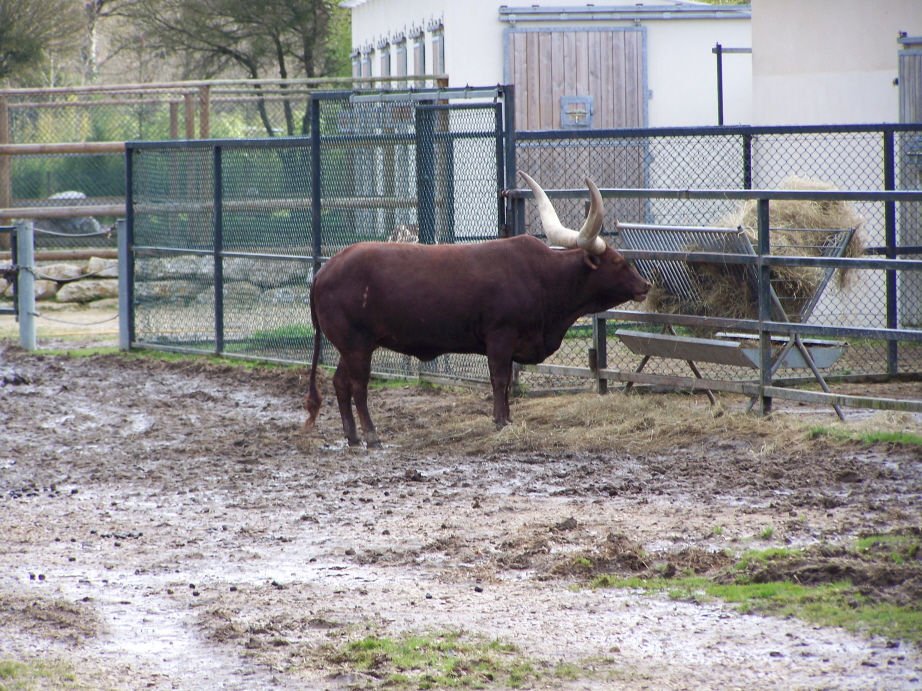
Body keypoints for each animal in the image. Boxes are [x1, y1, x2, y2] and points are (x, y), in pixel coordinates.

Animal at [302, 173, 648, 448]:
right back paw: (371, 436)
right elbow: (500, 379)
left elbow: (506, 382)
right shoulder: (500, 337)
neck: (542, 276)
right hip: (356, 344)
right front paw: (500, 421)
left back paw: (351, 436)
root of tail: (325, 269)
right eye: (617, 261)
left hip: (350, 346)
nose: (644, 285)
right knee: (358, 386)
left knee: (340, 383)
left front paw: (508, 418)